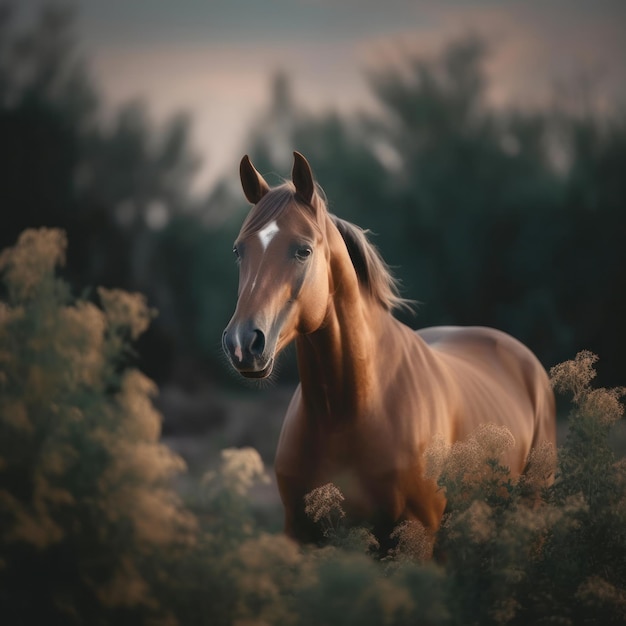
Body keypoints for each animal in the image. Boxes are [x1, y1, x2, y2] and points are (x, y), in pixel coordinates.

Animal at [222, 151, 552, 540]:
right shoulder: (300, 533)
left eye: (303, 250)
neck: (346, 411)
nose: (243, 343)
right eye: (238, 250)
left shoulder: (417, 533)